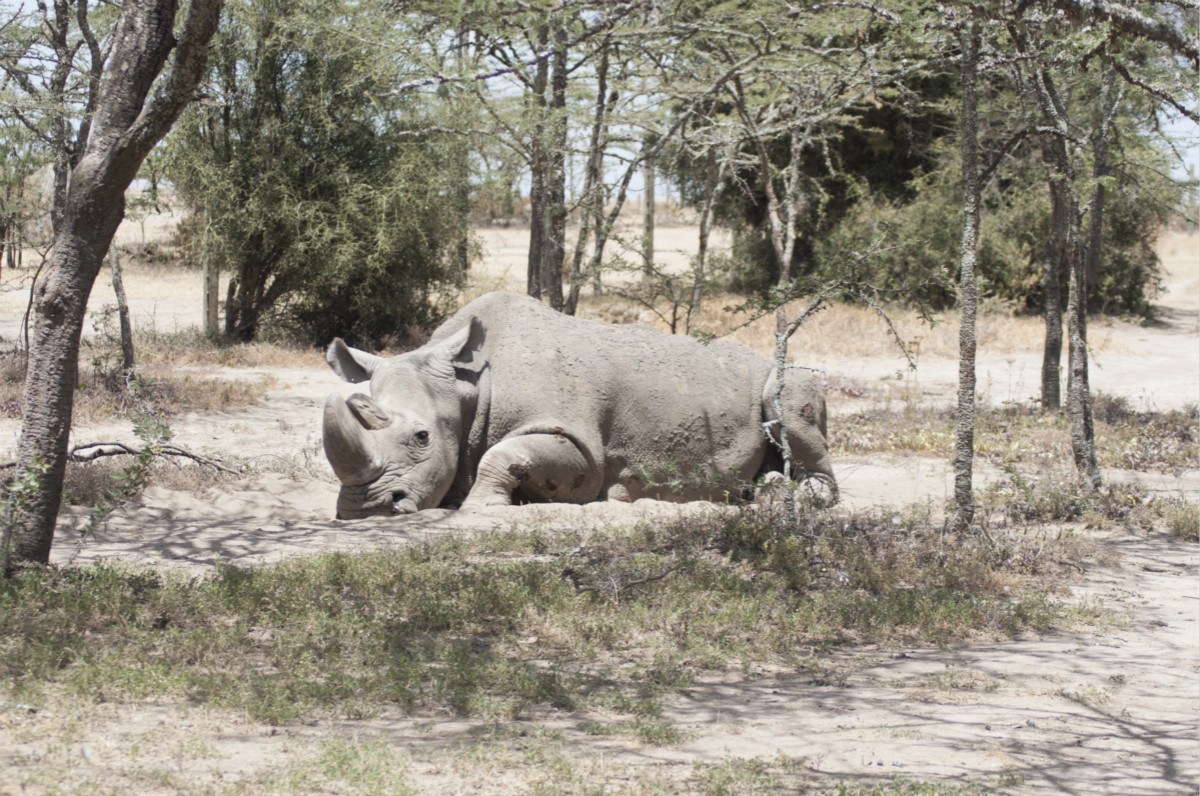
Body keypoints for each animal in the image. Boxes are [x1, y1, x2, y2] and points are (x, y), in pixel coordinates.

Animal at [324, 289, 840, 521]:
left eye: (421, 437)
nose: (365, 507)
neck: (469, 385)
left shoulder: (578, 445)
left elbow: (505, 454)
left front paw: (482, 508)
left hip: (786, 379)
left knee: (787, 398)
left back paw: (783, 496)